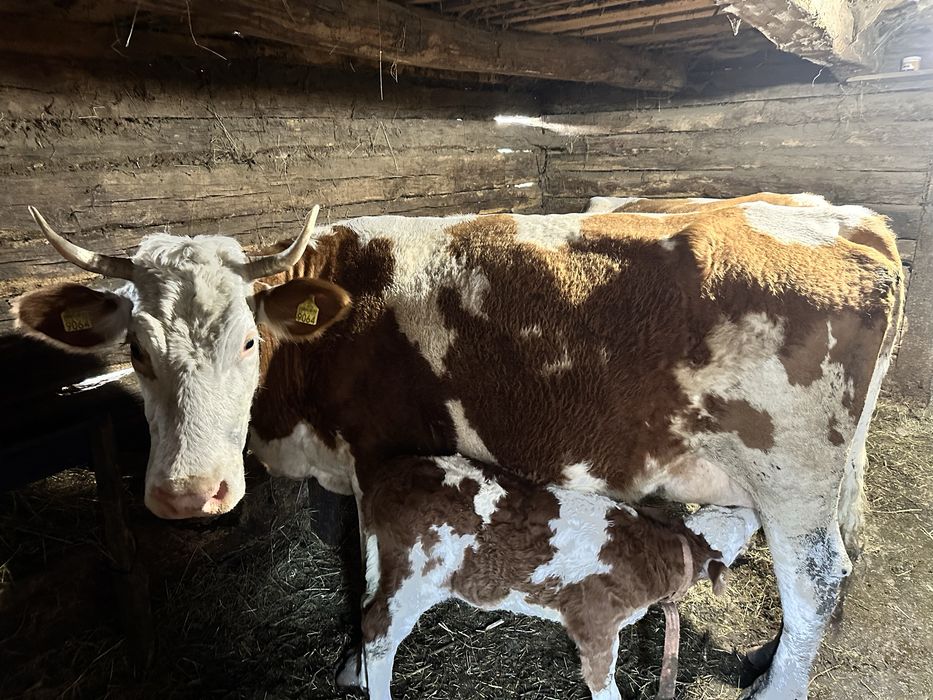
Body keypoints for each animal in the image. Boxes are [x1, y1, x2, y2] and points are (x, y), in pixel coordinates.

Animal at [333, 453, 757, 700]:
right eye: (739, 532)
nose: (754, 513)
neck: (655, 553)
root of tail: (391, 475)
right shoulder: (596, 623)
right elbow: (603, 682)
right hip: (414, 576)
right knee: (379, 632)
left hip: (386, 568)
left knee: (366, 608)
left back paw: (355, 675)